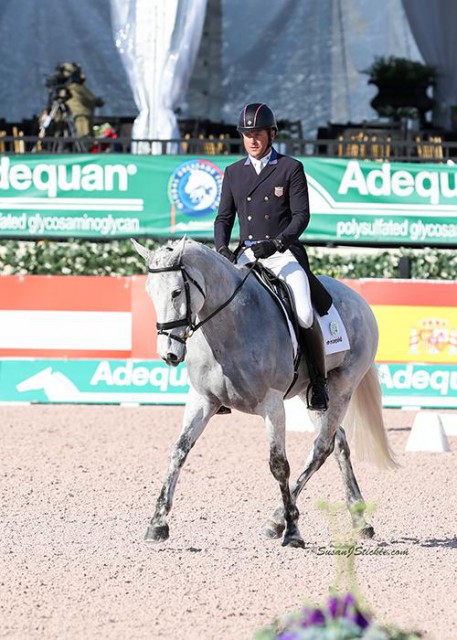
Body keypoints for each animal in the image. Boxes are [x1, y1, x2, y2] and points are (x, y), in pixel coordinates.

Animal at [133, 238, 396, 548]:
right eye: (150, 292)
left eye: (176, 292)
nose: (169, 354)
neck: (230, 326)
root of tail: (358, 300)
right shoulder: (202, 399)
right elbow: (179, 451)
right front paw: (157, 524)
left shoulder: (272, 404)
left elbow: (279, 464)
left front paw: (293, 531)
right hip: (312, 395)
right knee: (338, 442)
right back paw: (359, 519)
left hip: (343, 387)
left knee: (322, 447)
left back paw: (278, 520)